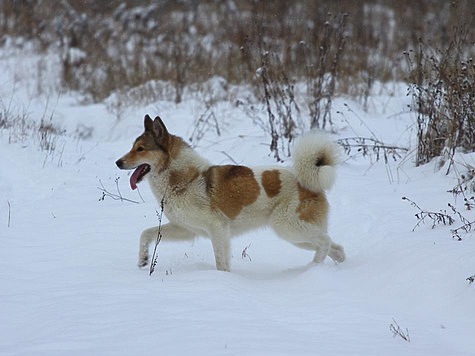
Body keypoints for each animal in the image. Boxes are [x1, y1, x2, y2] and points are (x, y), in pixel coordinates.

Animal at [115, 115, 346, 272]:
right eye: (133, 147)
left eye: (141, 149)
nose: (118, 162)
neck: (185, 179)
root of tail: (307, 179)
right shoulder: (186, 229)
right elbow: (146, 233)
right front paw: (143, 259)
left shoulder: (217, 229)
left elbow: (221, 262)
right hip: (297, 237)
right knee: (336, 247)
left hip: (288, 227)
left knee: (325, 242)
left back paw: (312, 267)